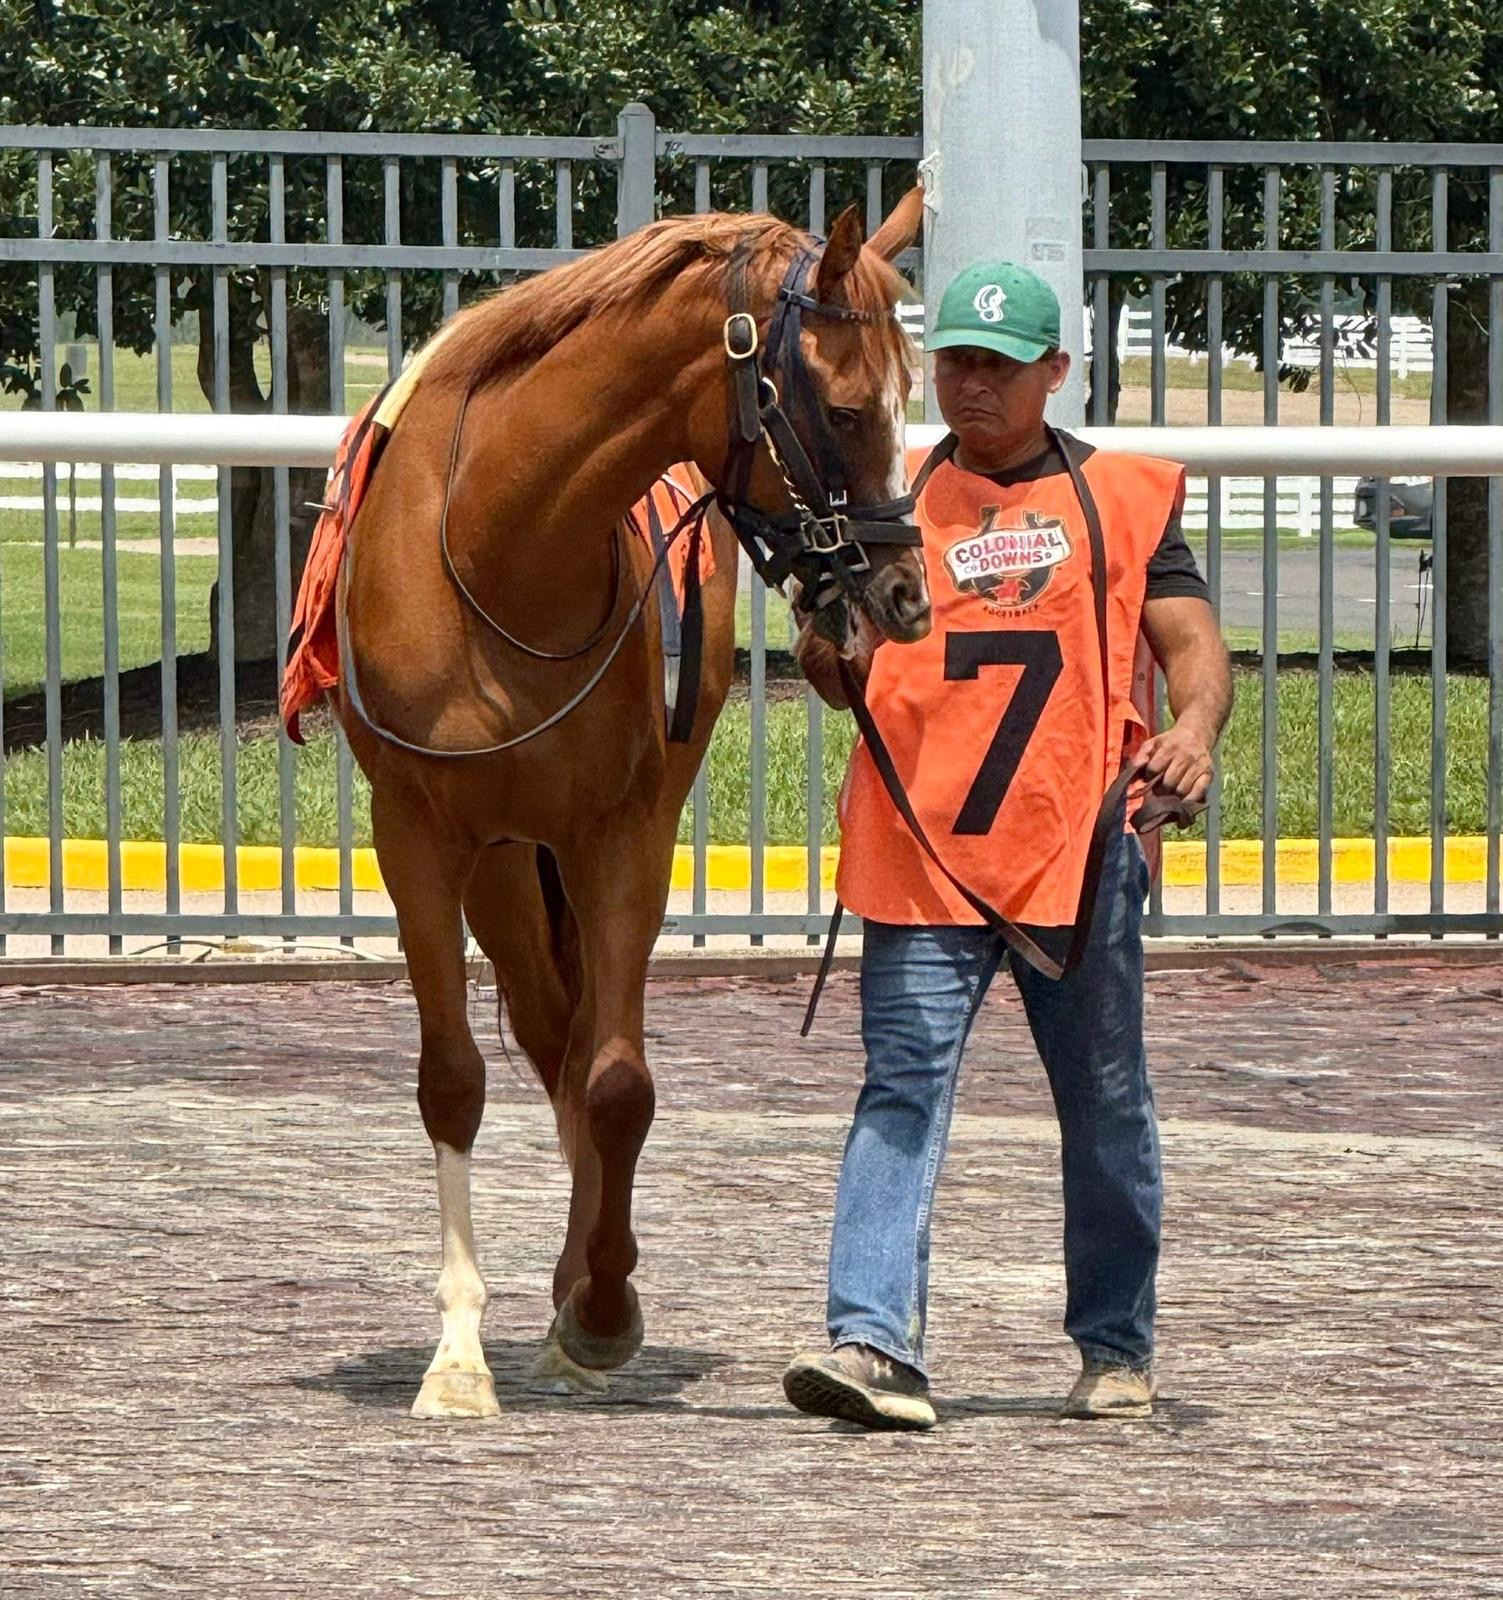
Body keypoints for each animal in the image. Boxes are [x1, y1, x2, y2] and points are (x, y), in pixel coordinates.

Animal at [329, 190, 930, 1419]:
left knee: (577, 1049)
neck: (504, 549)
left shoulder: (623, 835)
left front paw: (601, 1309)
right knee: (543, 1029)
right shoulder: (419, 836)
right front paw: (458, 1356)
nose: (903, 592)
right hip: (505, 864)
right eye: (849, 409)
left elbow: (616, 1085)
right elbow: (453, 1080)